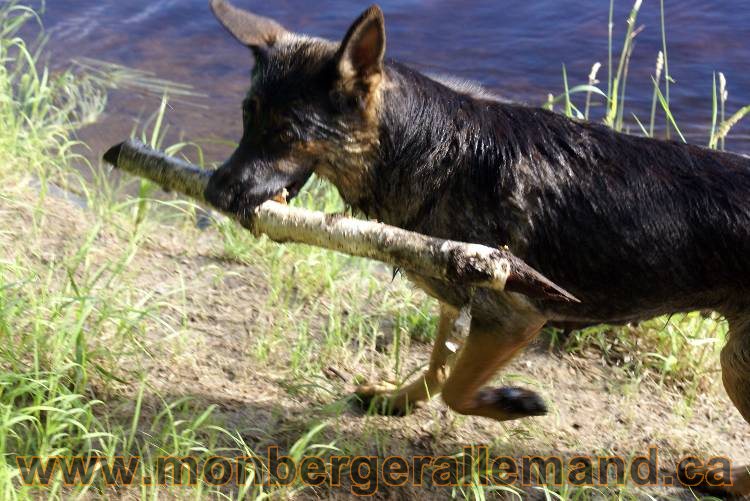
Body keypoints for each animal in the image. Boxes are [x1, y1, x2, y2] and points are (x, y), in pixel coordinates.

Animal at [206, 0, 750, 492]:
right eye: (246, 116)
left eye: (287, 133)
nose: (213, 192)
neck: (429, 147)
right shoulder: (454, 290)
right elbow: (437, 365)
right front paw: (398, 401)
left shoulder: (512, 318)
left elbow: (455, 388)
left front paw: (509, 404)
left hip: (735, 366)